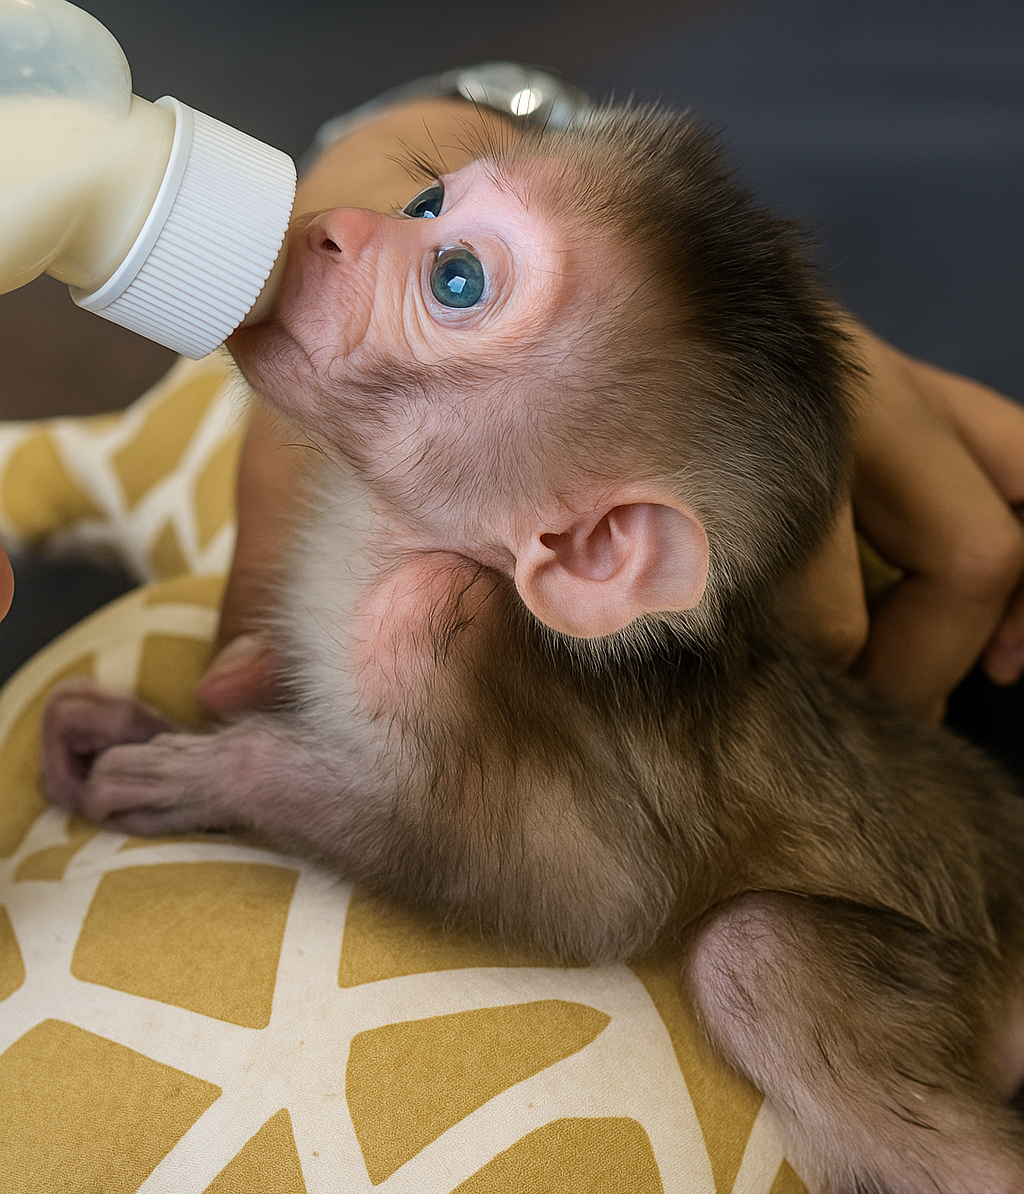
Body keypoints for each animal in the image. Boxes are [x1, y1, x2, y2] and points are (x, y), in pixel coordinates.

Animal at [39, 103, 1024, 1192]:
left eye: (457, 281)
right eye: (427, 204)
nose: (327, 226)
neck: (390, 528)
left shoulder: (434, 623)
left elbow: (589, 892)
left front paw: (209, 773)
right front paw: (134, 719)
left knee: (755, 954)